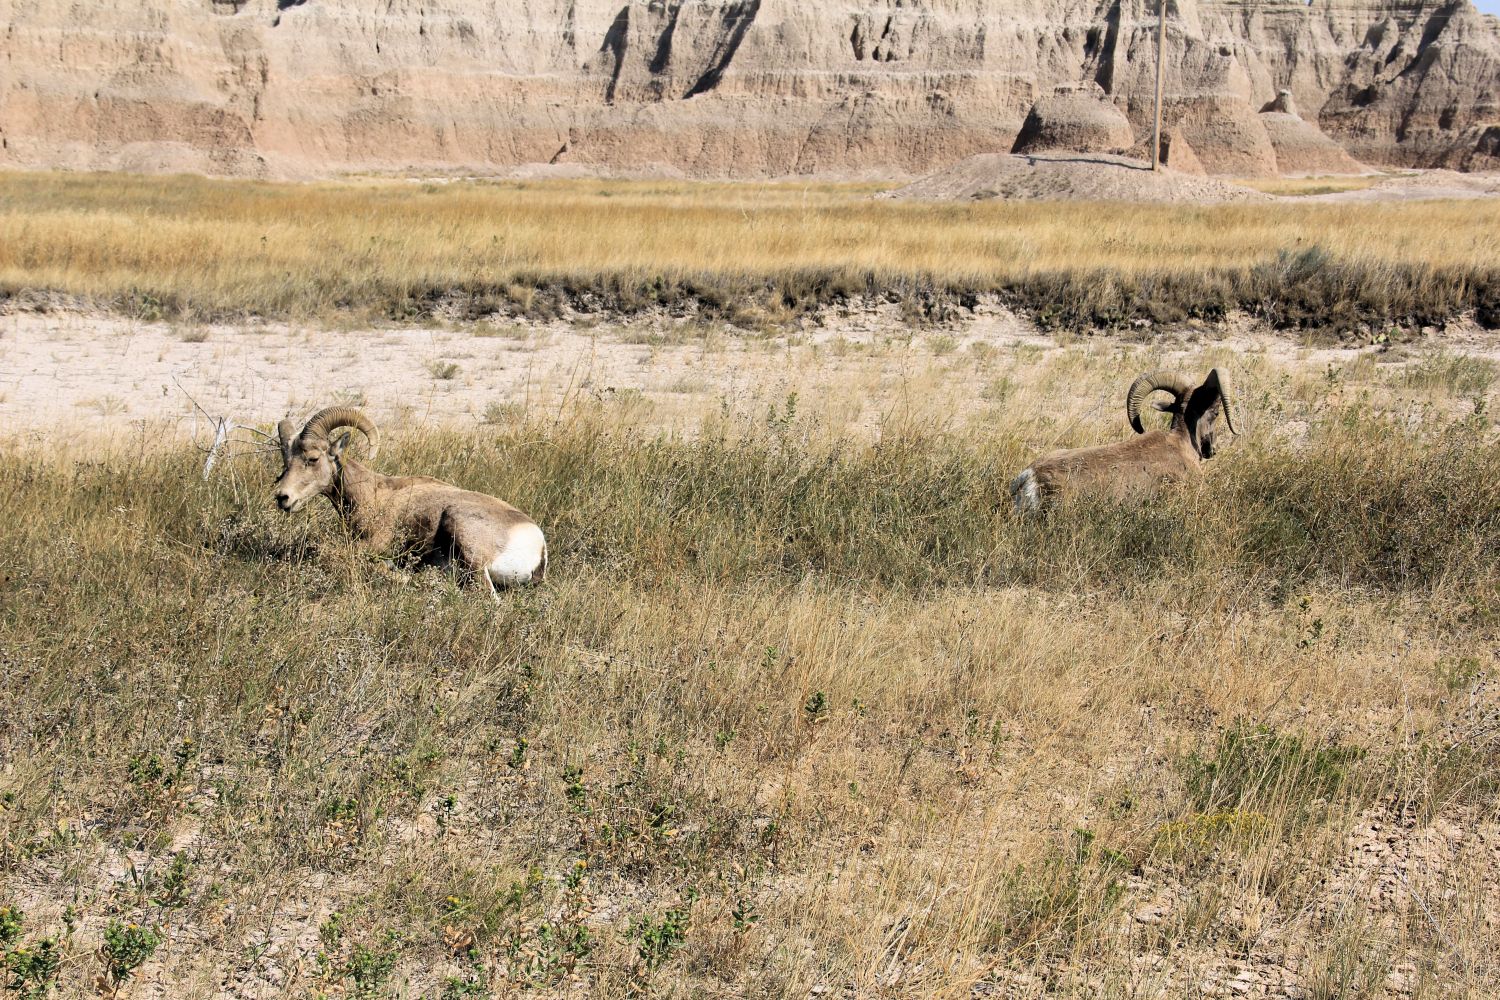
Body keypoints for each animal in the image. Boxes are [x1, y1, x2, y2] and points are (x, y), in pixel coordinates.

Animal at [273, 407, 549, 593]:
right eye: (286, 462)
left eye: (312, 459)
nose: (282, 498)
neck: (373, 494)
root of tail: (539, 547)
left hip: (463, 531)